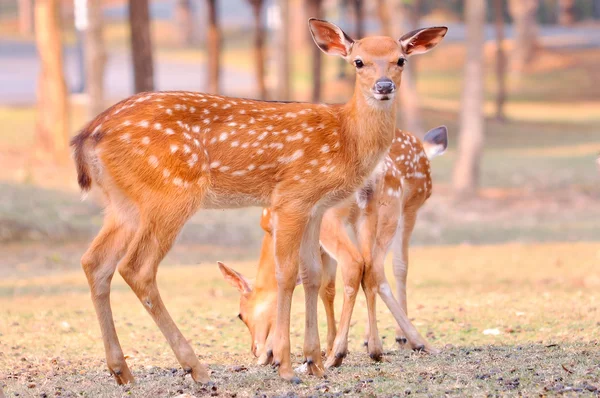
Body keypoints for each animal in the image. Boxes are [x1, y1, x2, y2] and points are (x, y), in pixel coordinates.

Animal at [218, 126, 448, 366]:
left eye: (240, 315)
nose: (255, 349)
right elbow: (326, 288)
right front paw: (324, 346)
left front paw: (274, 353)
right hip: (372, 215)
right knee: (372, 267)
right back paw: (381, 346)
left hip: (352, 216)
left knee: (366, 264)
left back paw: (350, 350)